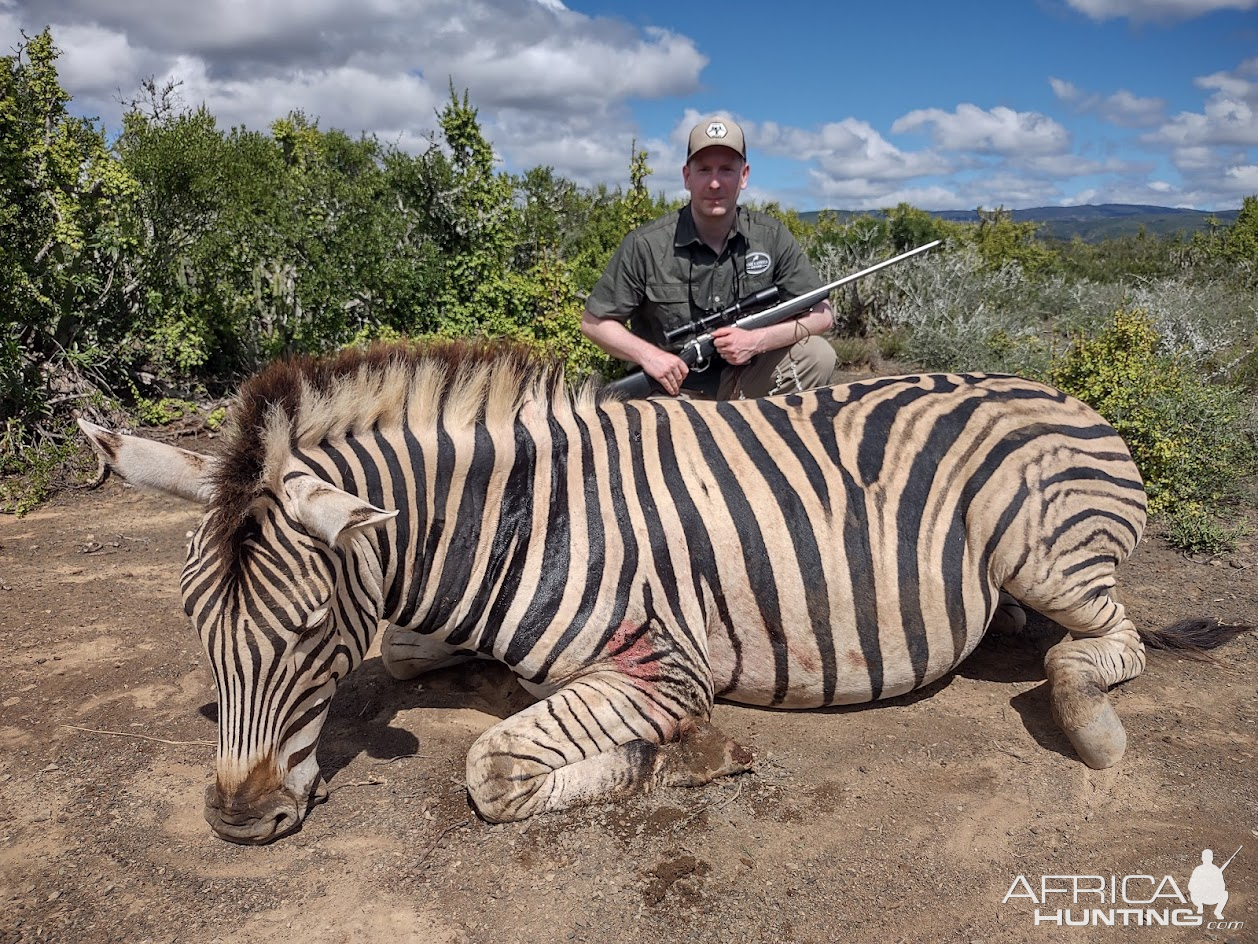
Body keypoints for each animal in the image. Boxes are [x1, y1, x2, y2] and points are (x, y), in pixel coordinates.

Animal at [81, 344, 1247, 845]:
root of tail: (1063, 391)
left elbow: (493, 769)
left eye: (313, 629)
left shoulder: (662, 662)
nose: (240, 820)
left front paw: (689, 755)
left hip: (1040, 540)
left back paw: (1089, 723)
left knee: (1110, 639)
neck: (516, 520)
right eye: (195, 625)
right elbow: (413, 653)